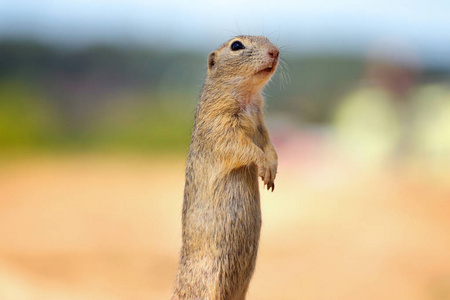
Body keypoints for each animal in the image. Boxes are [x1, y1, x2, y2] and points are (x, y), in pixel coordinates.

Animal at [171, 35, 278, 300]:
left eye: (268, 40)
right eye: (236, 45)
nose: (275, 51)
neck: (248, 97)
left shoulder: (261, 125)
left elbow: (269, 146)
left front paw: (272, 169)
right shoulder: (220, 126)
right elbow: (244, 148)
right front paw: (263, 165)